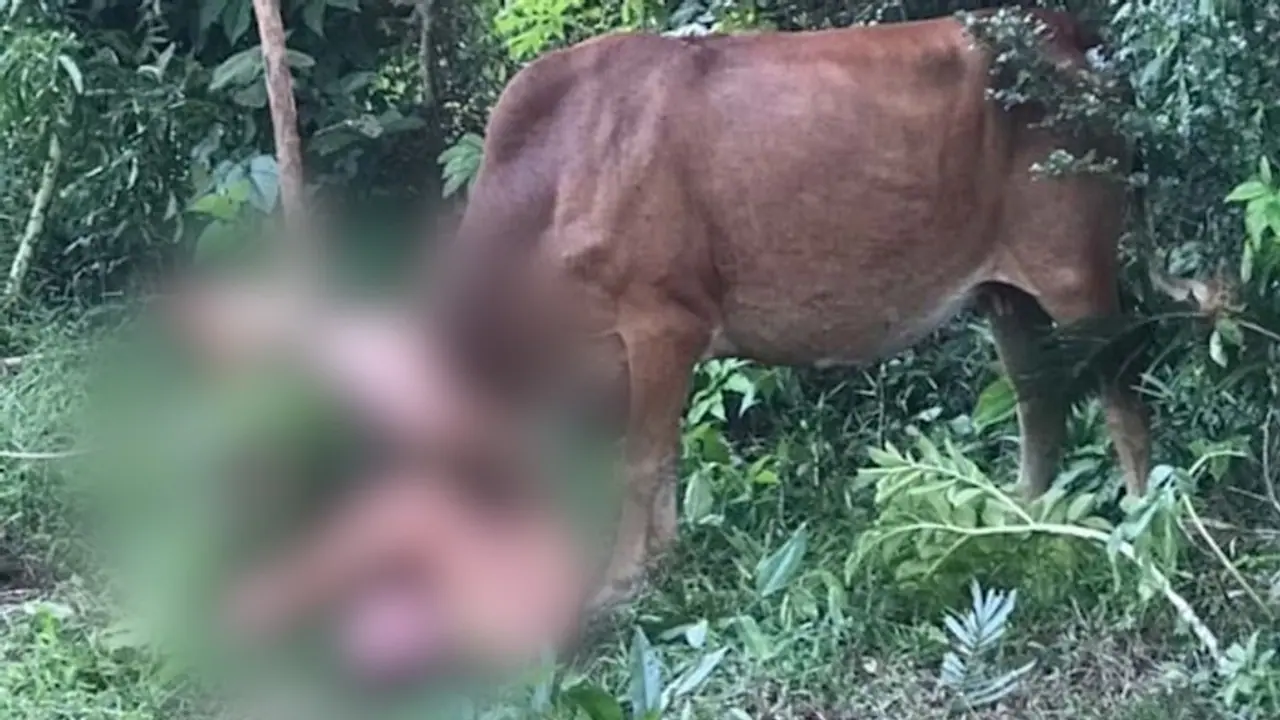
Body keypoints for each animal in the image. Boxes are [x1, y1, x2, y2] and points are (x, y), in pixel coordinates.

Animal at [426, 8, 1152, 611]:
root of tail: (1076, 39)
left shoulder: (664, 322)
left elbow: (640, 462)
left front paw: (618, 585)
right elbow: (662, 458)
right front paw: (661, 563)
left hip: (1074, 267)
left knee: (1122, 393)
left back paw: (1147, 522)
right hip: (1005, 293)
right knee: (1038, 399)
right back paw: (1022, 517)